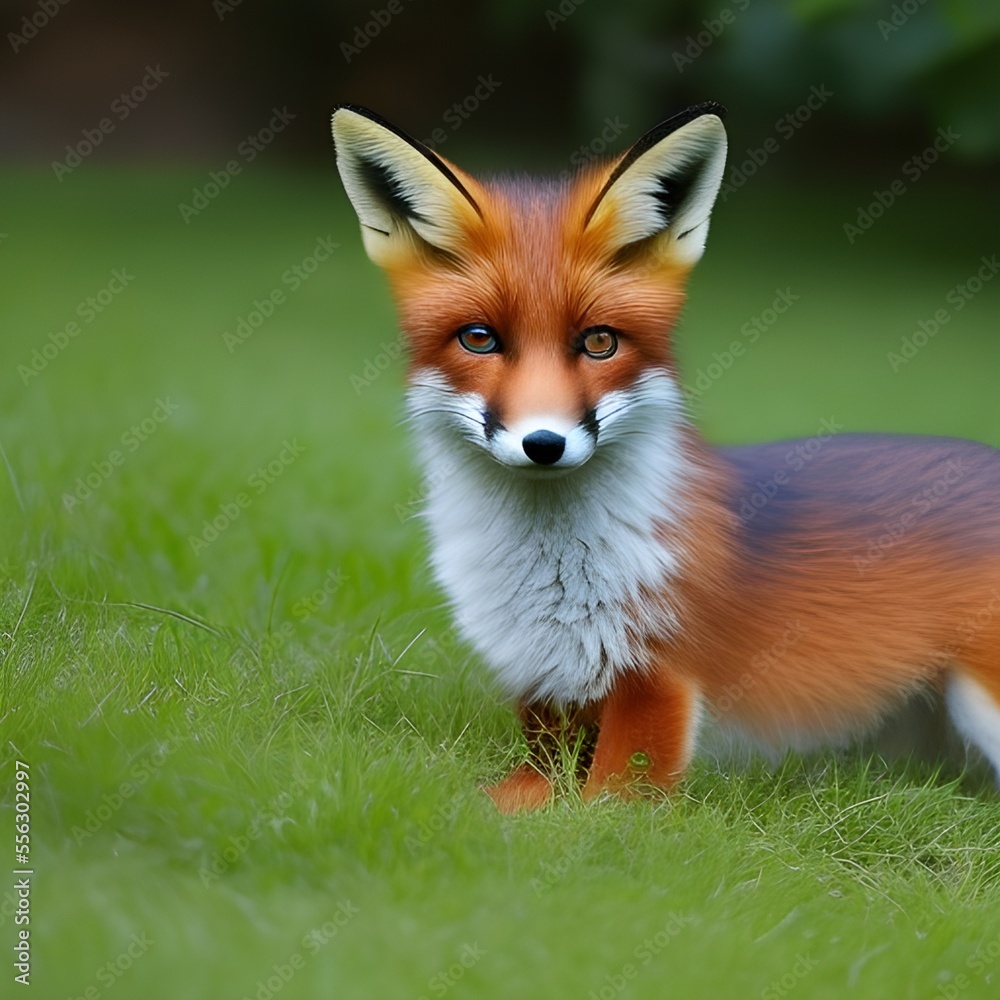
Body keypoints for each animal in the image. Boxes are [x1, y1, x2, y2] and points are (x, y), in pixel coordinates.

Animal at [330, 102, 1000, 813]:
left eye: (599, 342)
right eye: (479, 339)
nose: (544, 444)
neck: (553, 578)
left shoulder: (658, 680)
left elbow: (604, 808)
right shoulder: (547, 686)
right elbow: (519, 792)